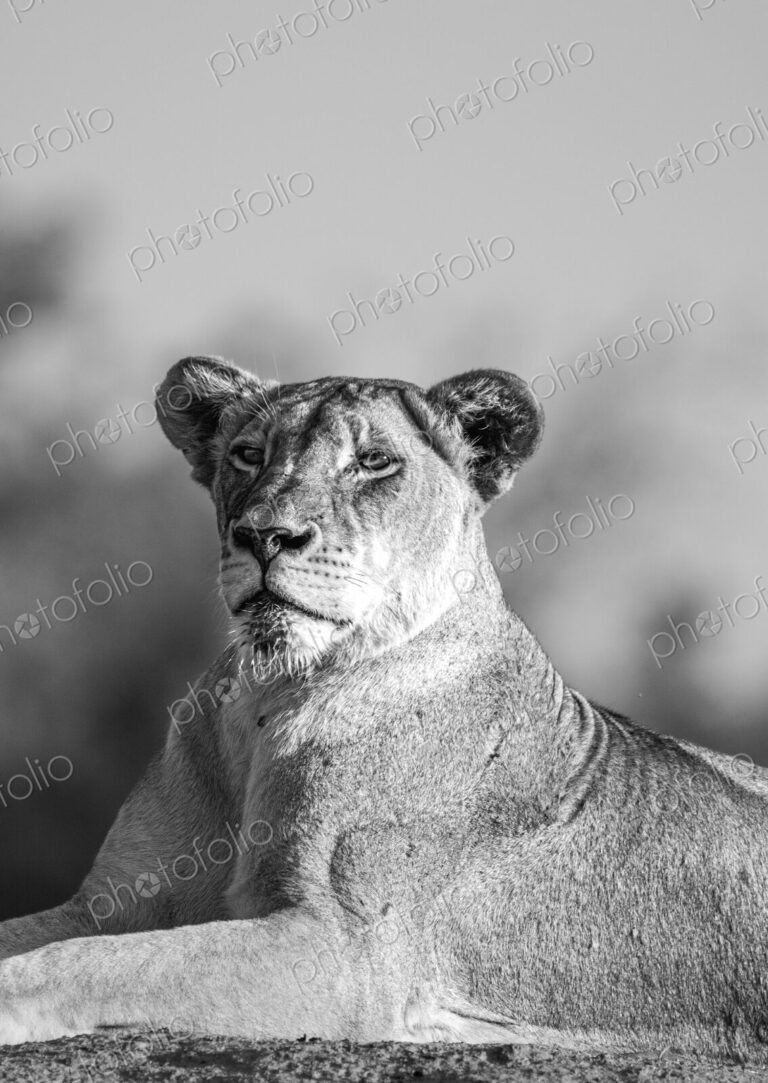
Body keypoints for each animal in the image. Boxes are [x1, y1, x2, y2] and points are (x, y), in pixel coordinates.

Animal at [2, 357, 768, 1058]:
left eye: (373, 463)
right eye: (249, 455)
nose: (265, 535)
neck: (267, 696)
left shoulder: (346, 950)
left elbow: (98, 965)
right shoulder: (109, 902)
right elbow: (57, 941)